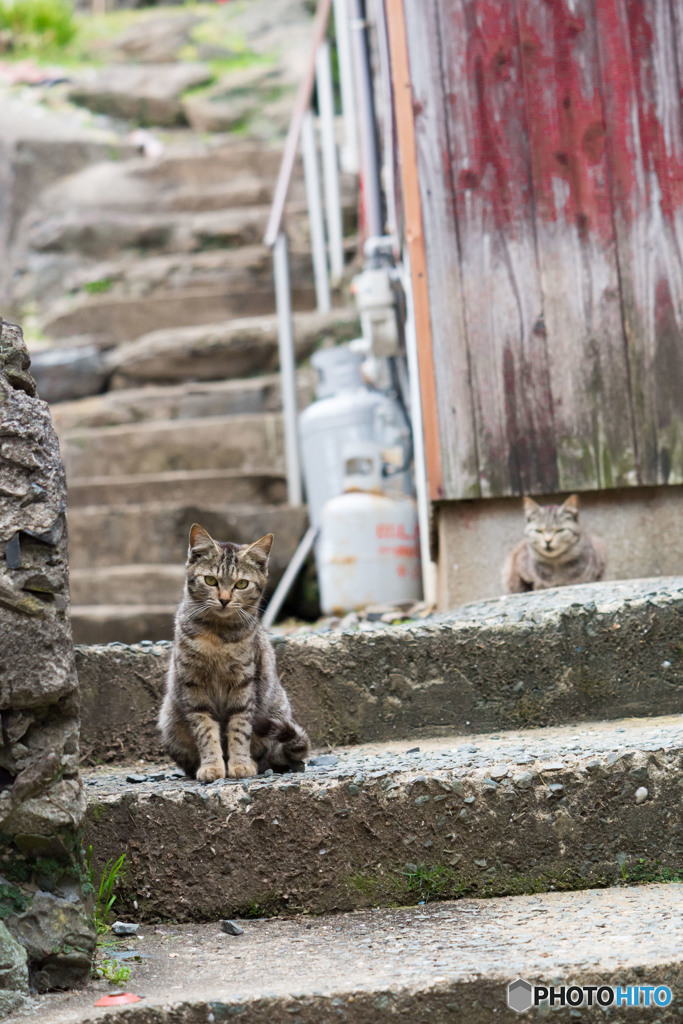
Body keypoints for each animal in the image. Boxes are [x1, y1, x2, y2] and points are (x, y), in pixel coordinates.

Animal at [158, 524, 309, 778]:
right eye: (210, 580)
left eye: (241, 584)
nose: (224, 599)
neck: (218, 636)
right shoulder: (193, 685)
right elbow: (205, 730)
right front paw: (211, 766)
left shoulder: (244, 684)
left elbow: (239, 729)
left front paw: (240, 764)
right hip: (169, 721)